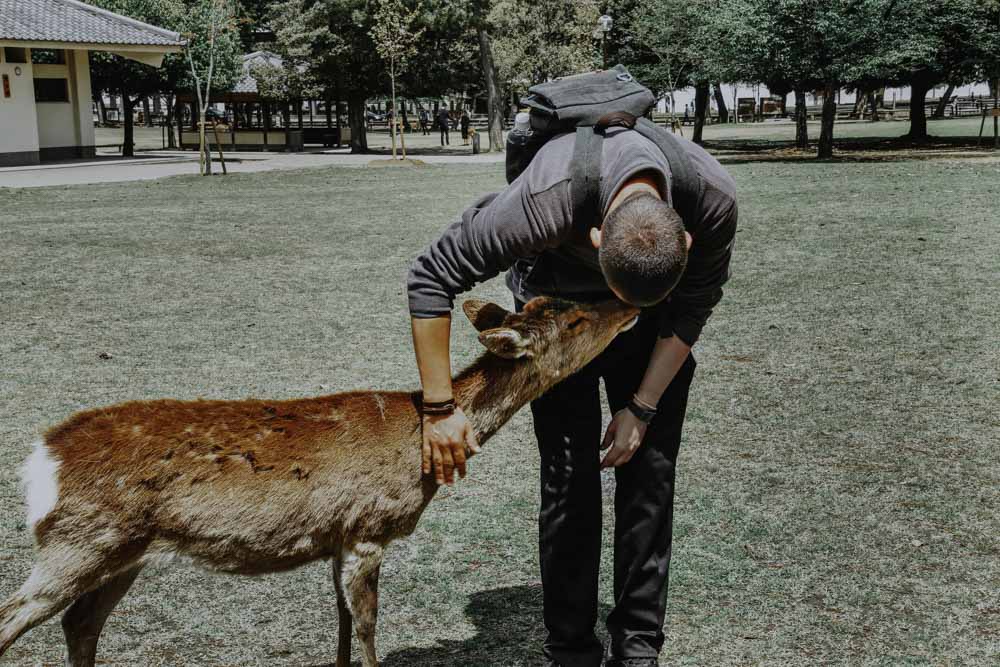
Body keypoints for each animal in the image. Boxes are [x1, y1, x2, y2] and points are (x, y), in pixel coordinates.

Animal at [0, 298, 636, 667]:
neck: (419, 452)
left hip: (121, 552)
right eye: (576, 319)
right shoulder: (369, 528)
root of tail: (41, 459)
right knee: (17, 616)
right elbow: (368, 628)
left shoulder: (336, 537)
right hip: (80, 542)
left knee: (80, 622)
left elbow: (341, 626)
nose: (626, 307)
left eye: (568, 302)